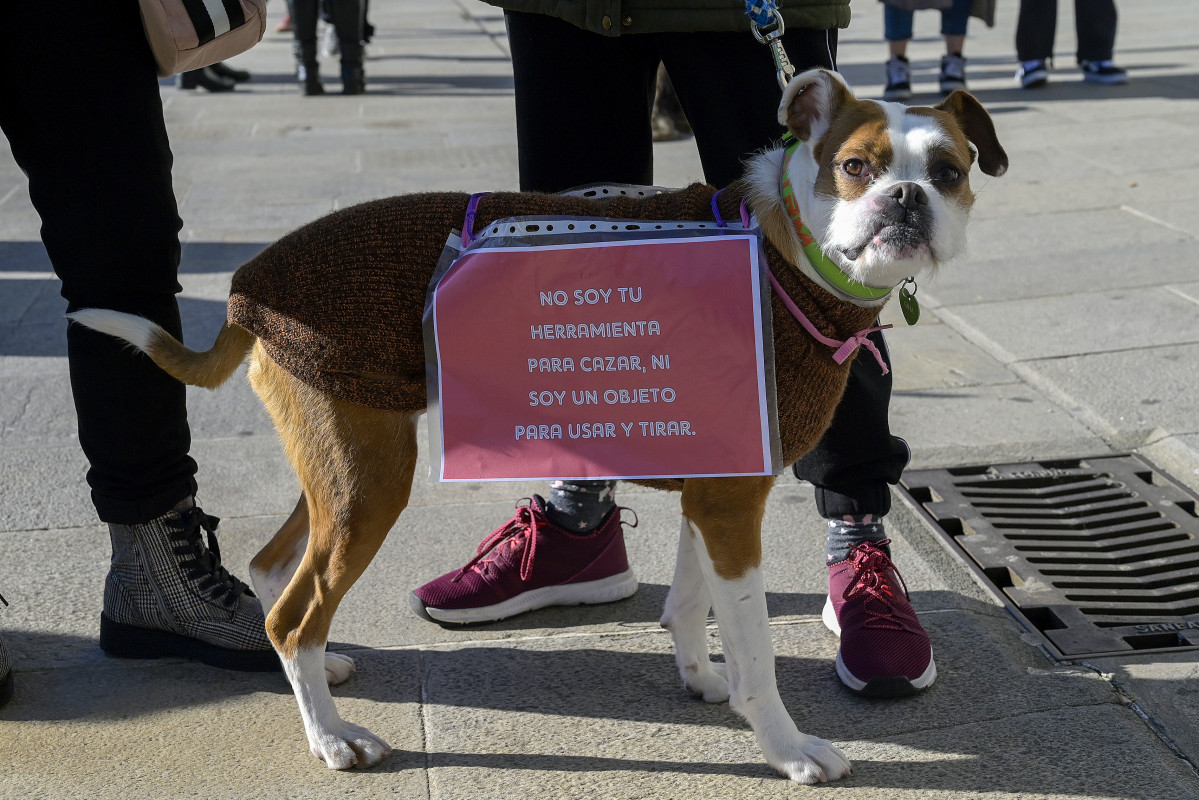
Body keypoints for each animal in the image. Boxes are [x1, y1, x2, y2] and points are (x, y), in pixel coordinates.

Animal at [65, 68, 1002, 782]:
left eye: (949, 170)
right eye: (854, 165)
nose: (905, 196)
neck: (782, 255)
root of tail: (248, 287)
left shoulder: (714, 487)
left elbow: (690, 600)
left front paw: (701, 678)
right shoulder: (734, 503)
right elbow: (754, 646)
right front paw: (786, 747)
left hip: (346, 460)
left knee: (272, 572)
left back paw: (318, 677)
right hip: (369, 480)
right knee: (294, 609)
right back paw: (331, 737)